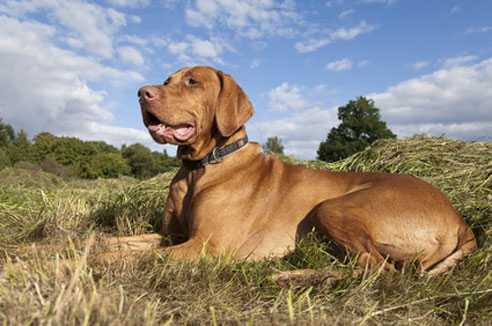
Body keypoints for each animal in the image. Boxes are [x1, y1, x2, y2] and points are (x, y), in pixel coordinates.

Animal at [94, 65, 474, 276]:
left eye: (192, 83)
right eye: (166, 79)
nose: (142, 93)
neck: (200, 168)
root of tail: (459, 219)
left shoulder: (206, 246)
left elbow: (126, 255)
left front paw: (83, 263)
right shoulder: (172, 236)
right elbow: (116, 242)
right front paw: (80, 245)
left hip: (332, 207)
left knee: (379, 271)